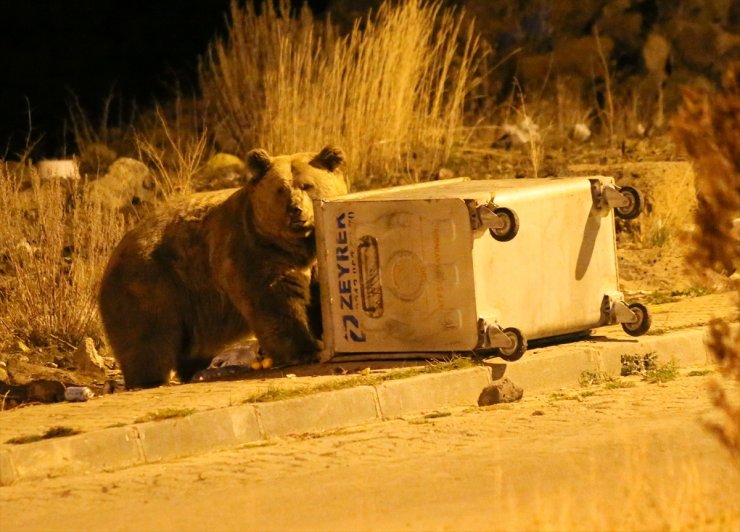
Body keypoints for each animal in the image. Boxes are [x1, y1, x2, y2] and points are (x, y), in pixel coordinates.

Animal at [99, 145, 350, 386]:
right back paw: (149, 379)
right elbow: (275, 302)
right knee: (149, 336)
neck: (297, 245)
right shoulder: (253, 250)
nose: (295, 209)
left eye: (307, 185)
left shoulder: (313, 259)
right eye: (281, 189)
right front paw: (305, 350)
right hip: (152, 284)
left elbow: (319, 297)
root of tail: (113, 254)